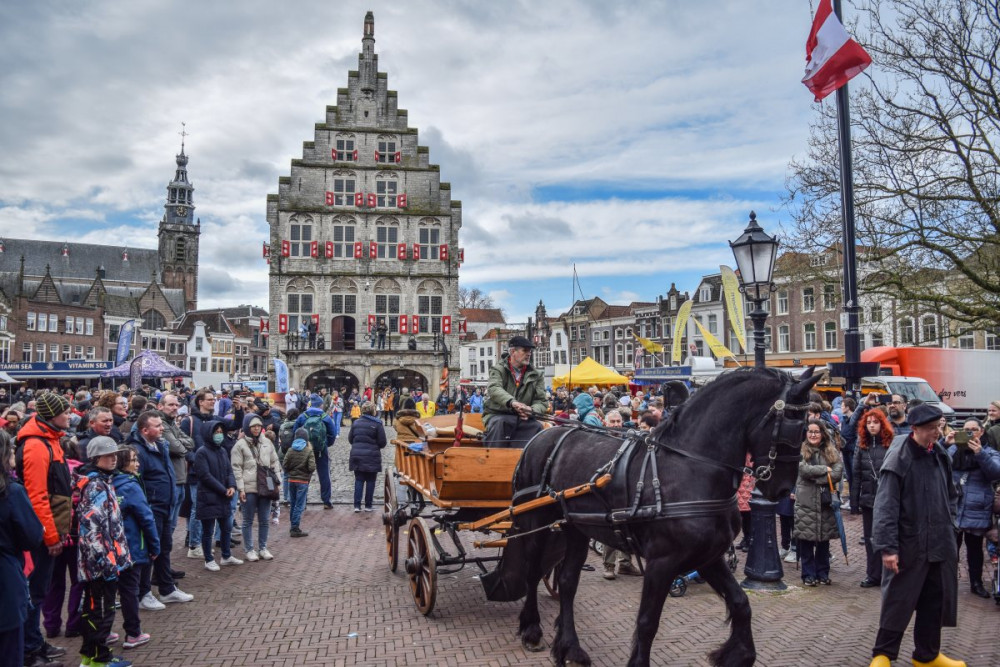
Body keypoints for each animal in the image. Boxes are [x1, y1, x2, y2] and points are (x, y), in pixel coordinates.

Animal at [482, 368, 820, 664]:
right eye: (796, 423)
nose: (783, 489)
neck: (693, 467)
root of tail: (537, 440)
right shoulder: (662, 561)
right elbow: (647, 622)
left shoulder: (708, 556)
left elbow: (741, 603)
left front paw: (737, 655)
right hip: (536, 523)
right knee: (531, 573)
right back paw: (532, 631)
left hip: (575, 528)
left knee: (566, 582)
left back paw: (570, 649)